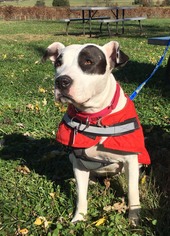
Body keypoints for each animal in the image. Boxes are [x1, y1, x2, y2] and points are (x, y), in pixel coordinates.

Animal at [42, 40, 150, 225]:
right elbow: (81, 195)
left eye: (88, 61)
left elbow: (133, 192)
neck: (94, 117)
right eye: (58, 63)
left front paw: (134, 219)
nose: (61, 81)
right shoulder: (78, 163)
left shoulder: (130, 161)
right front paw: (79, 217)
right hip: (72, 158)